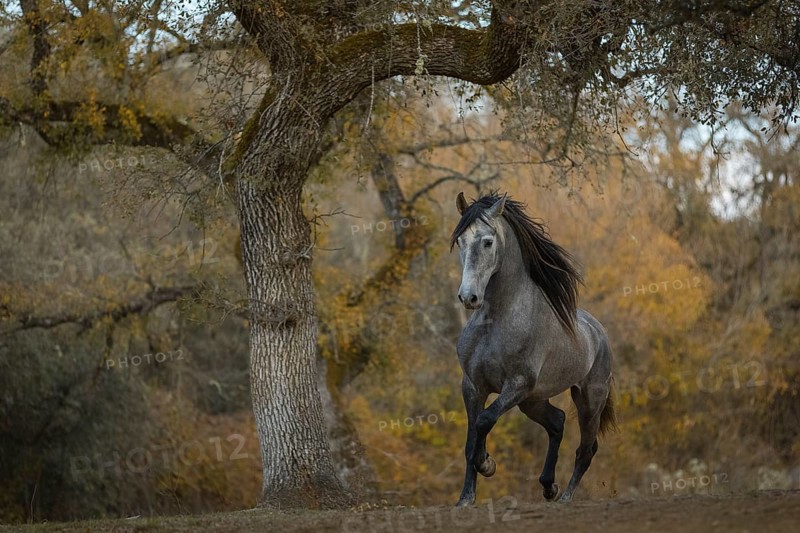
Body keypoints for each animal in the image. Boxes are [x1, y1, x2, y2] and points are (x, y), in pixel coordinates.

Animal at [450, 191, 616, 506]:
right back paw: (548, 487)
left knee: (586, 450)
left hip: (588, 400)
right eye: (460, 241)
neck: (496, 321)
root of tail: (600, 333)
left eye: (487, 242)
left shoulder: (517, 384)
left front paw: (487, 463)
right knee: (557, 422)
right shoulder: (473, 386)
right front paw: (465, 498)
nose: (469, 297)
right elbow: (469, 439)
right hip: (532, 401)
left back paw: (565, 497)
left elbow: (484, 421)